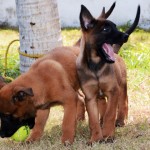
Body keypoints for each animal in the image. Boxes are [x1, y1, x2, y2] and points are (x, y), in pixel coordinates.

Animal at [76, 4, 141, 144]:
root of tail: (116, 53)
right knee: (103, 107)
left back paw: (121, 120)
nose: (126, 36)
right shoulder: (90, 97)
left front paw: (108, 135)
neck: (95, 66)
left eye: (115, 26)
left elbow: (110, 114)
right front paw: (95, 138)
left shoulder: (113, 91)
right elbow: (93, 120)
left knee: (123, 102)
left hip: (122, 86)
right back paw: (102, 122)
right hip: (101, 96)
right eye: (106, 29)